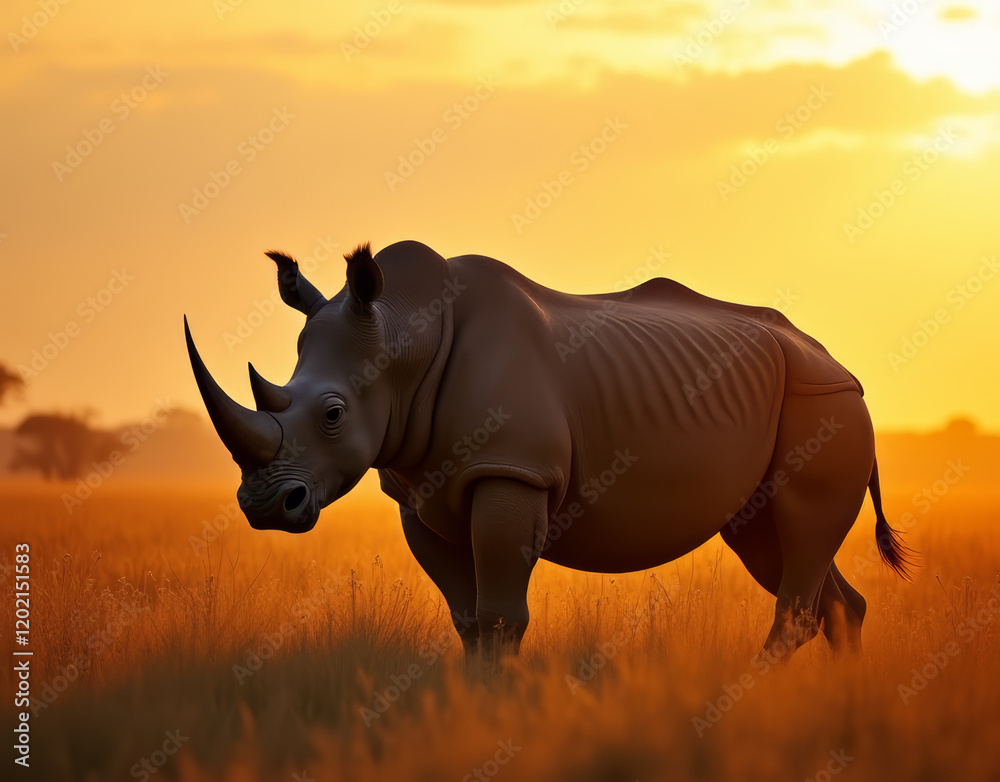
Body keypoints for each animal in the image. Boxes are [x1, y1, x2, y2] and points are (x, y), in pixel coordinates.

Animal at [184, 240, 912, 661]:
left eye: (334, 415)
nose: (265, 506)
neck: (403, 335)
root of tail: (841, 365)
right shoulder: (417, 491)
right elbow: (469, 620)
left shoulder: (513, 470)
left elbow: (502, 618)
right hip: (793, 404)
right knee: (774, 544)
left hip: (826, 404)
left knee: (800, 536)